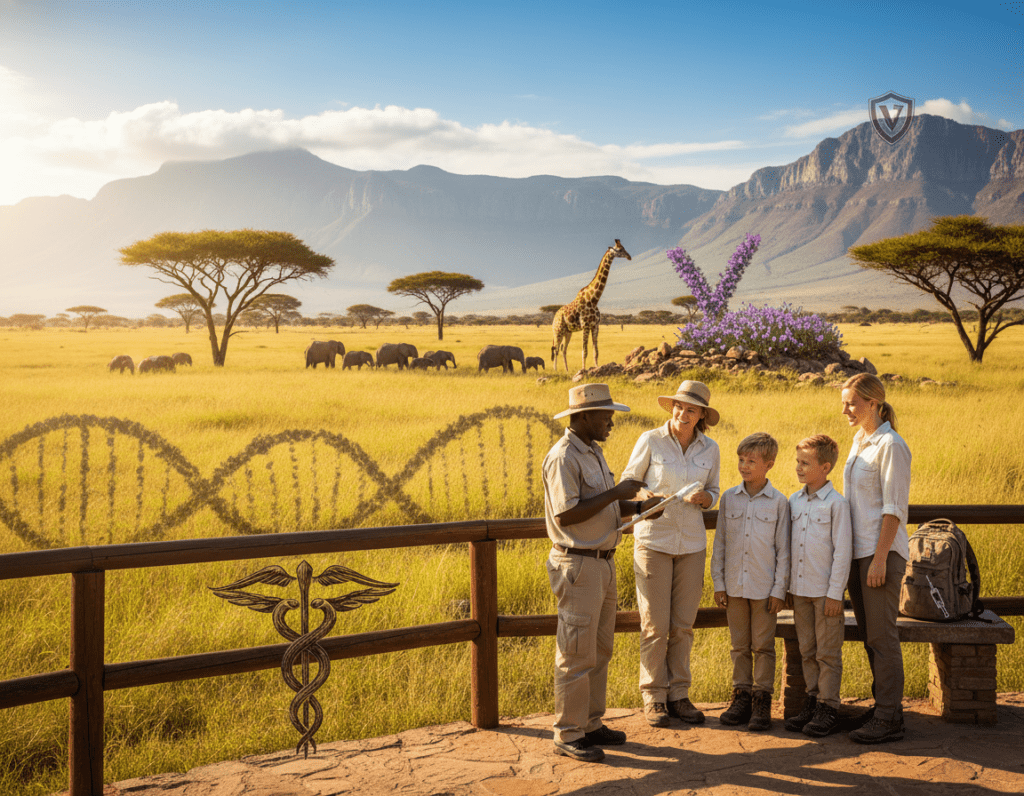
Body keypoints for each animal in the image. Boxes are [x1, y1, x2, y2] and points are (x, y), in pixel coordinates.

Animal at [550, 239, 631, 372]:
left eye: (624, 247)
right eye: (620, 249)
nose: (629, 257)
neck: (594, 299)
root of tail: (554, 317)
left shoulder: (595, 326)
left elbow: (596, 351)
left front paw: (597, 368)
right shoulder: (585, 326)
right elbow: (584, 351)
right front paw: (583, 370)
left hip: (568, 332)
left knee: (563, 349)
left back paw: (567, 370)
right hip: (558, 331)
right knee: (556, 349)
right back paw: (555, 370)